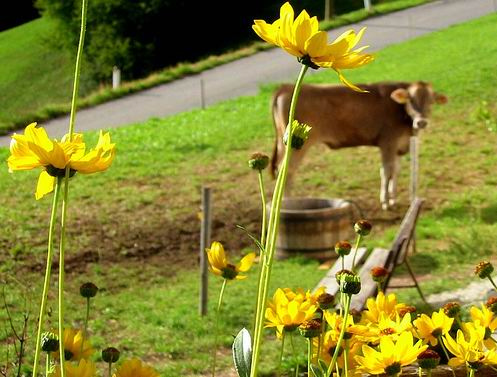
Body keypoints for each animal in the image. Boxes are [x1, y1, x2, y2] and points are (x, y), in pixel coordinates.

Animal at [270, 81, 448, 209]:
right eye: (411, 100)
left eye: (431, 101)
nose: (421, 122)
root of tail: (286, 86)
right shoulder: (388, 142)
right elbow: (386, 171)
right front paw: (385, 202)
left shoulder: (399, 146)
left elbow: (396, 170)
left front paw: (393, 199)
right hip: (297, 145)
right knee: (287, 170)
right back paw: (286, 205)